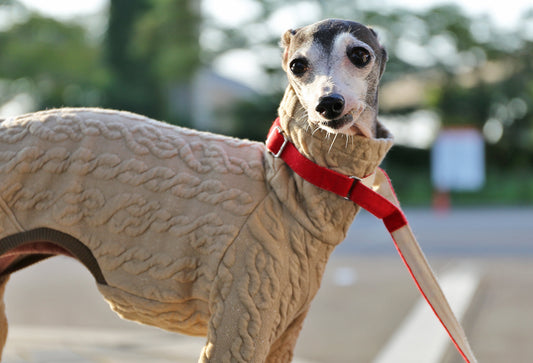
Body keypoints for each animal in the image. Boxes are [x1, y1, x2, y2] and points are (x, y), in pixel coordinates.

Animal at [0, 20, 390, 363]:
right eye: (297, 65)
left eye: (360, 54)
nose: (328, 105)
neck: (288, 182)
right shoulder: (242, 316)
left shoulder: (280, 334)